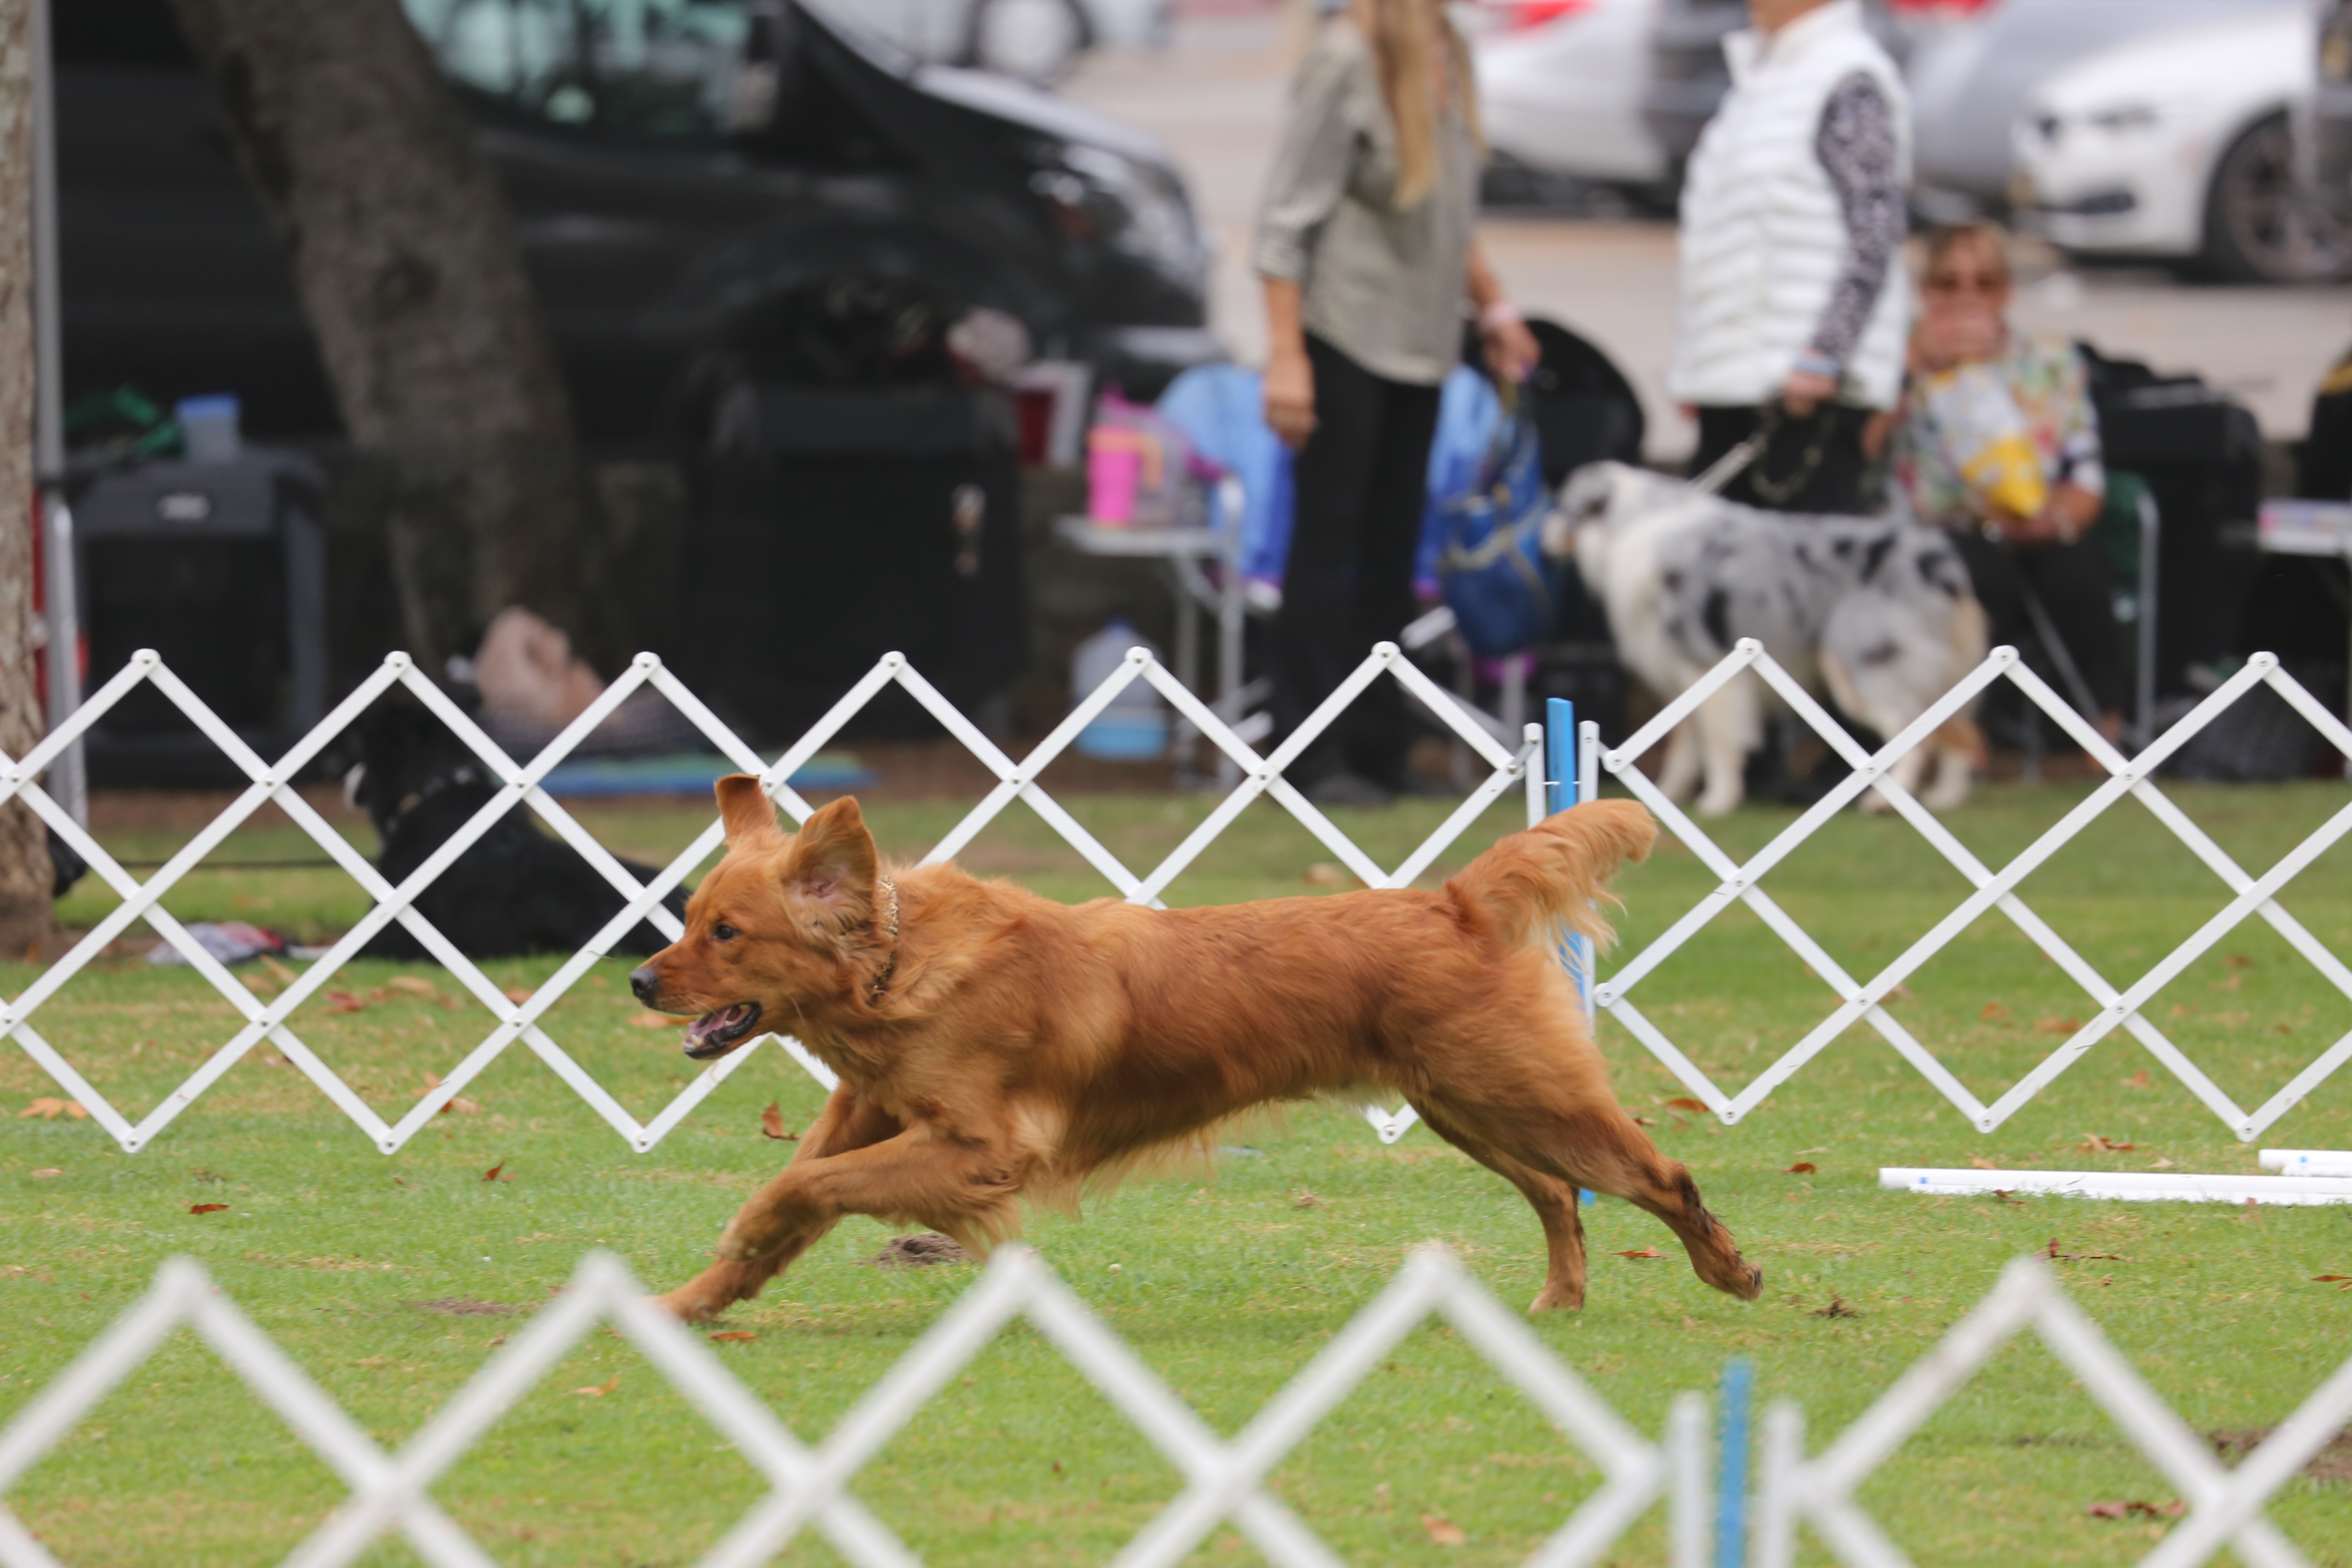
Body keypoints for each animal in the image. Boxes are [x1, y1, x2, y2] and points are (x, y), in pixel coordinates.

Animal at [627, 778, 1762, 1323]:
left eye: (724, 933)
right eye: (686, 921)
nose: (639, 982)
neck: (895, 969)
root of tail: (1455, 902)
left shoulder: (979, 1152)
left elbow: (795, 1190)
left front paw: (728, 1246)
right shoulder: (866, 1117)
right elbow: (793, 1202)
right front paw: (683, 1305)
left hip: (1522, 1095)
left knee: (1660, 1172)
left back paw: (1729, 1270)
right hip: (1471, 1109)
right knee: (1558, 1193)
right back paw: (1563, 1297)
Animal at [1553, 462, 1986, 817]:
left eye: (1564, 507)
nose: (1545, 535)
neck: (1634, 521)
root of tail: (1938, 561)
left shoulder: (1702, 665)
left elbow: (1718, 741)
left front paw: (1719, 800)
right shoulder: (1678, 676)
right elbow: (1685, 747)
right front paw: (1667, 796)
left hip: (1860, 664)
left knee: (1912, 732)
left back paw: (1885, 802)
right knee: (1960, 732)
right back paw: (1948, 796)